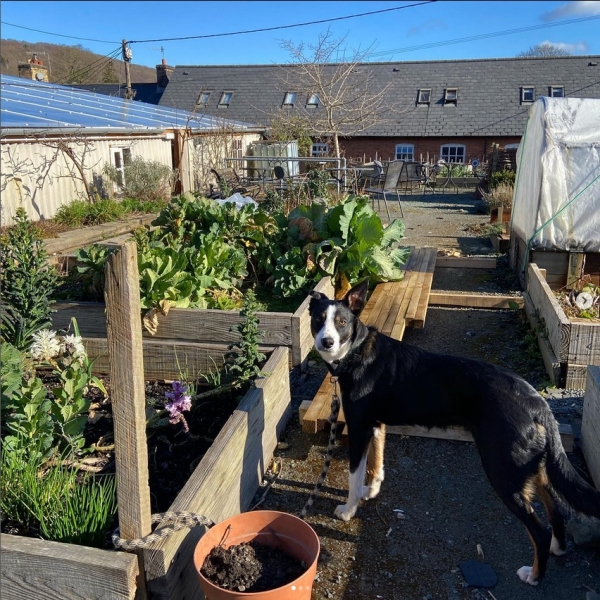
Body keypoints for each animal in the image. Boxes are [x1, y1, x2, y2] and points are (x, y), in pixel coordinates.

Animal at [310, 278, 600, 584]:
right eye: (318, 319)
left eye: (341, 322)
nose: (326, 341)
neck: (355, 352)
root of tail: (535, 401)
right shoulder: (375, 426)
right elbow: (376, 466)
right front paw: (372, 491)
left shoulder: (358, 428)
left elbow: (354, 476)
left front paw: (348, 510)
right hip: (535, 470)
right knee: (557, 513)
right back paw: (558, 548)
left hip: (503, 472)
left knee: (538, 530)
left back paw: (533, 575)